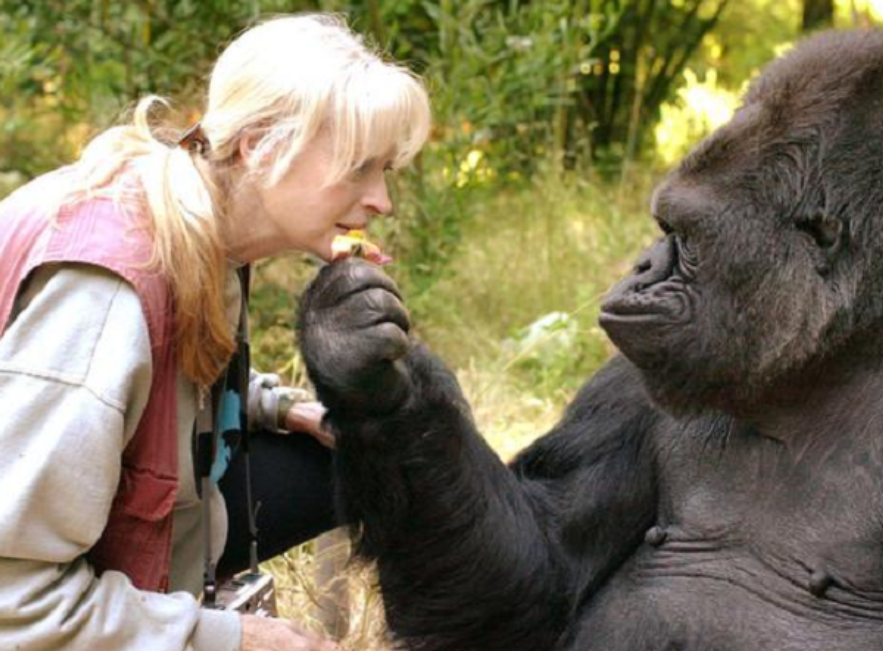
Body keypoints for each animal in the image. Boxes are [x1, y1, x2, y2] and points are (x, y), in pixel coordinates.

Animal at [300, 30, 883, 651]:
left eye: (685, 237)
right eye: (664, 228)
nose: (641, 266)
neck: (823, 363)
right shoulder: (628, 382)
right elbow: (533, 578)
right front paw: (366, 372)